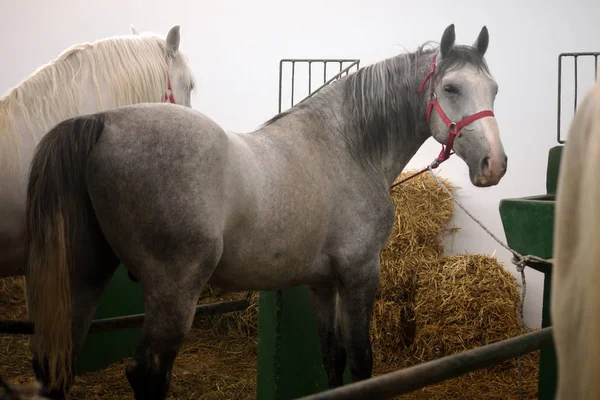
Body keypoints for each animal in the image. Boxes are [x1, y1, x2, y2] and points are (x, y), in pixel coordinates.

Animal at [27, 23, 506, 398]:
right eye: (451, 88)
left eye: (494, 90)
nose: (494, 164)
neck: (347, 147)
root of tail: (101, 121)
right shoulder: (360, 275)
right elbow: (361, 363)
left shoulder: (321, 284)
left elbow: (332, 358)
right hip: (173, 290)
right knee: (148, 374)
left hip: (84, 279)